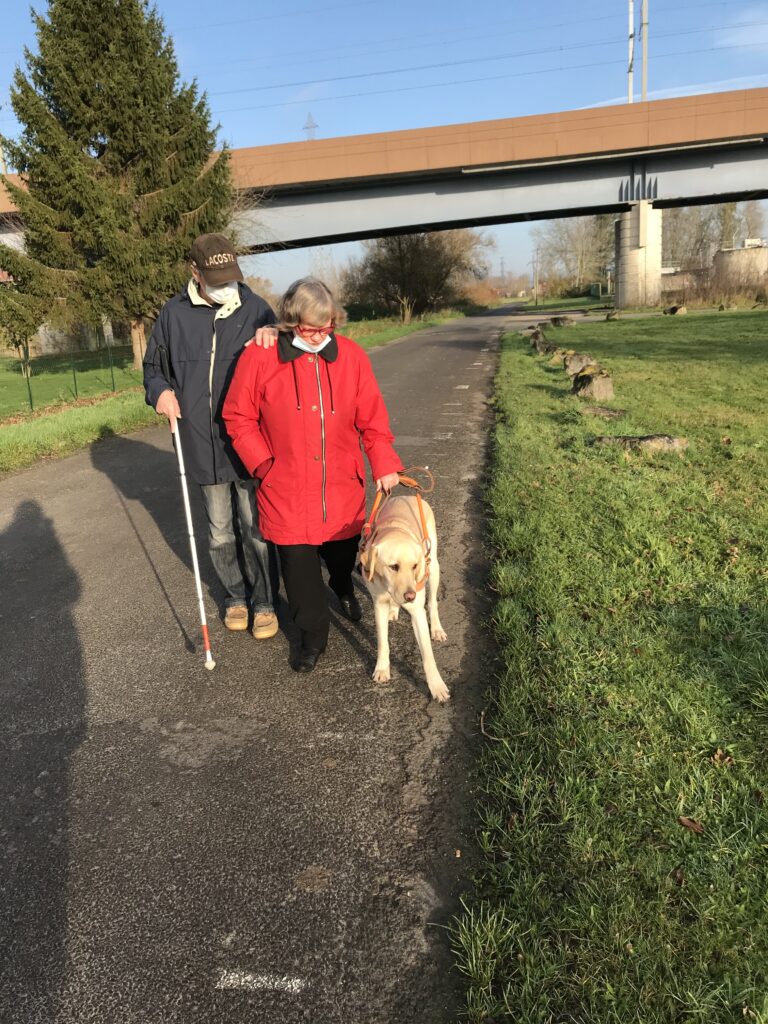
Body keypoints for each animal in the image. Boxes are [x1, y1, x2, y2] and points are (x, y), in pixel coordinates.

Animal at [360, 495, 450, 704]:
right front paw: (382, 668)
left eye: (414, 565)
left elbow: (428, 655)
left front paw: (437, 686)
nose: (411, 595)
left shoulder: (417, 611)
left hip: (432, 567)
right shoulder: (379, 604)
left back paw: (436, 628)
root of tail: (407, 495)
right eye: (393, 566)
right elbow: (382, 642)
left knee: (432, 603)